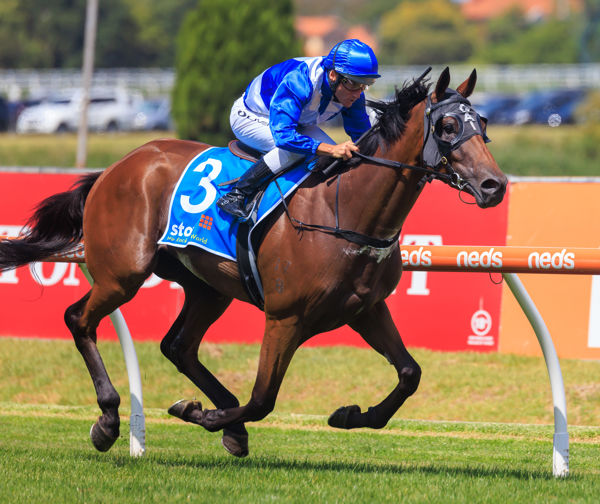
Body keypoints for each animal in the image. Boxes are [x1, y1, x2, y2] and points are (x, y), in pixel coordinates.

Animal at [0, 69, 506, 458]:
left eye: (481, 121)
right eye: (446, 126)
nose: (495, 185)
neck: (345, 210)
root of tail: (114, 167)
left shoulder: (366, 308)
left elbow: (409, 374)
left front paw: (351, 415)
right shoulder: (285, 317)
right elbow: (263, 398)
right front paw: (201, 414)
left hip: (206, 286)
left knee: (178, 346)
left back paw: (222, 422)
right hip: (122, 272)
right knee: (79, 318)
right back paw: (109, 419)